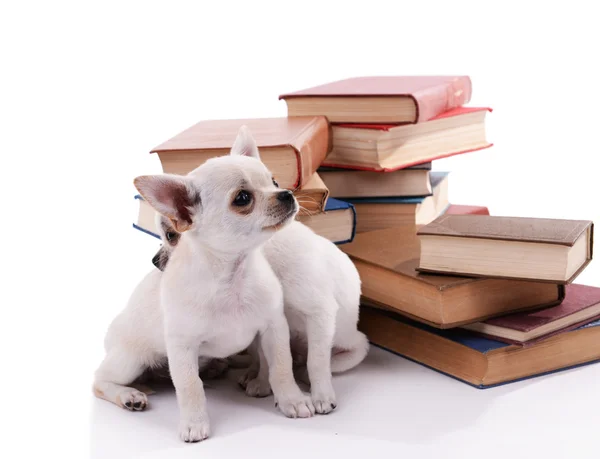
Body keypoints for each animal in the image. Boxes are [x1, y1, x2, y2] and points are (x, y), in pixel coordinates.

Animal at [94, 127, 314, 444]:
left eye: (273, 182)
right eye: (243, 198)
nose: (286, 193)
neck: (232, 278)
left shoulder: (273, 329)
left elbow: (281, 367)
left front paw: (292, 400)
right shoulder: (182, 347)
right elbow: (189, 386)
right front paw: (194, 423)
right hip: (130, 360)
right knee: (99, 381)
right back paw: (128, 395)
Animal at [152, 131, 370, 416]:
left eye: (274, 182)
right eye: (169, 235)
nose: (155, 261)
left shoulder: (319, 314)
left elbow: (317, 361)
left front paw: (321, 395)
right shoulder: (269, 323)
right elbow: (271, 358)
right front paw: (269, 384)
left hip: (348, 340)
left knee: (333, 356)